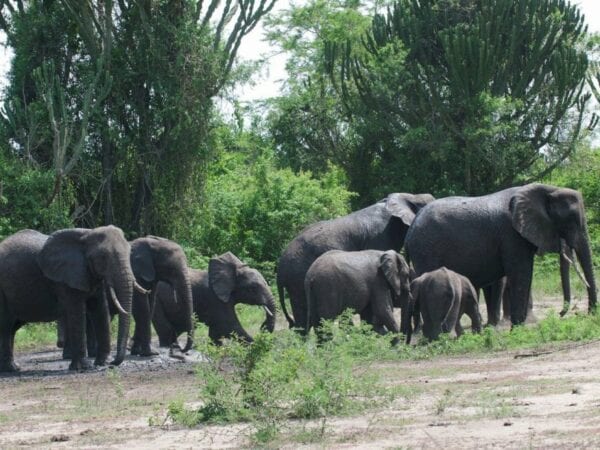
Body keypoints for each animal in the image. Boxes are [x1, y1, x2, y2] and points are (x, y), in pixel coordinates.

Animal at [0, 227, 135, 370]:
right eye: (103, 256)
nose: (113, 364)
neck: (87, 234)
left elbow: (100, 309)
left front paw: (102, 363)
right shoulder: (65, 279)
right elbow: (77, 312)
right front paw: (84, 368)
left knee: (12, 327)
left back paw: (14, 367)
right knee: (6, 325)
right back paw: (11, 368)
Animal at [406, 184, 596, 326]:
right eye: (571, 222)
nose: (561, 314)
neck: (547, 189)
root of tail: (411, 228)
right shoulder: (511, 235)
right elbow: (521, 273)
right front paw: (518, 329)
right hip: (426, 250)